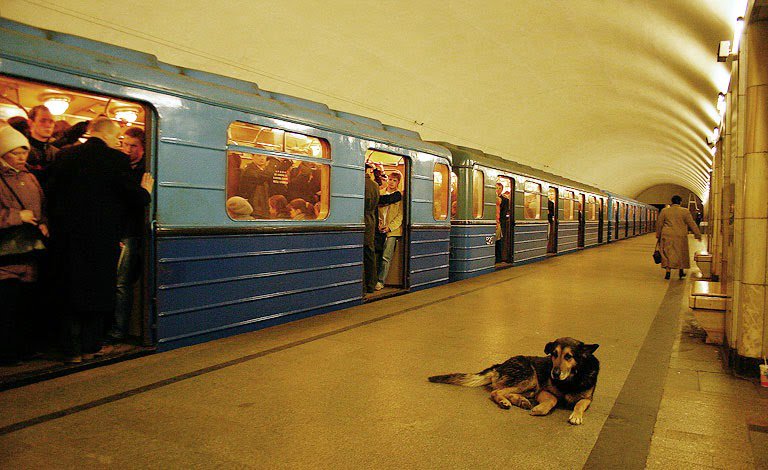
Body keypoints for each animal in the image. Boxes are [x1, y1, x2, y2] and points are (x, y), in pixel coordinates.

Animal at [426, 336, 600, 424]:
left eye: (568, 356)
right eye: (554, 354)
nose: (555, 374)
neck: (573, 378)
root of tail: (499, 366)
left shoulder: (588, 399)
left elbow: (579, 404)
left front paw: (576, 415)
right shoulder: (543, 391)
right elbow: (553, 400)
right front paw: (540, 409)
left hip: (530, 386)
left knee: (506, 392)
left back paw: (520, 401)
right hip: (529, 377)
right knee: (496, 391)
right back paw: (506, 401)